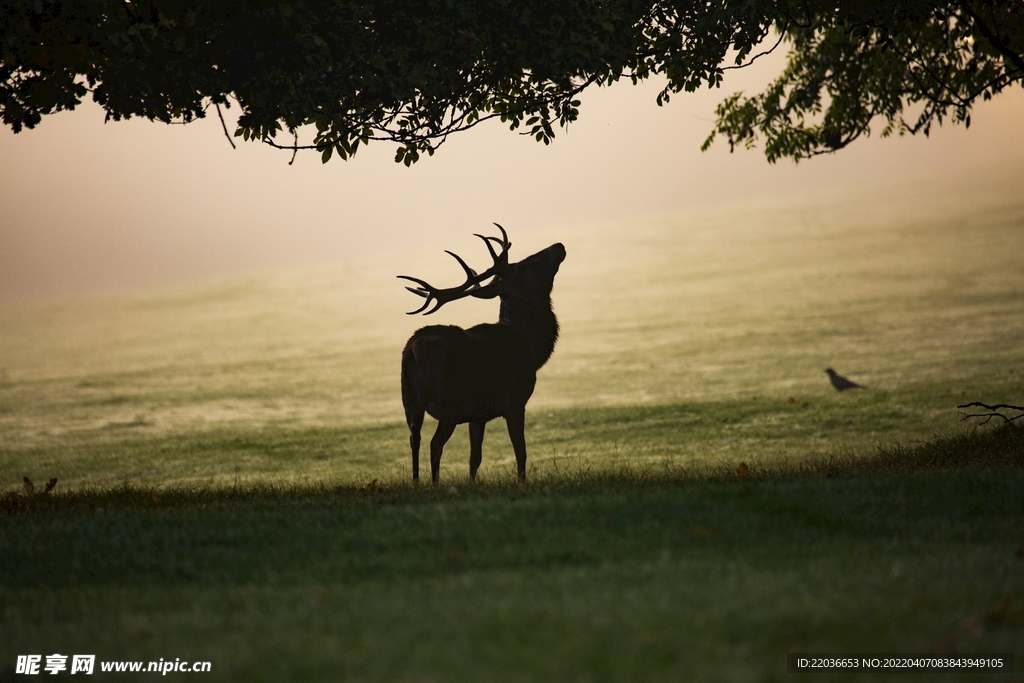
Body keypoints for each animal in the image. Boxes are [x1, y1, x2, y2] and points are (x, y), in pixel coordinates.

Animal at [395, 227, 565, 483]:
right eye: (524, 266)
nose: (558, 245)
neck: (530, 346)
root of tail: (413, 350)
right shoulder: (515, 400)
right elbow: (521, 451)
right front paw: (522, 482)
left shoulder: (477, 415)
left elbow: (474, 459)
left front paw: (472, 483)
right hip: (450, 402)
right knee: (435, 444)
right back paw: (434, 483)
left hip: (410, 401)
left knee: (414, 439)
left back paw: (416, 483)